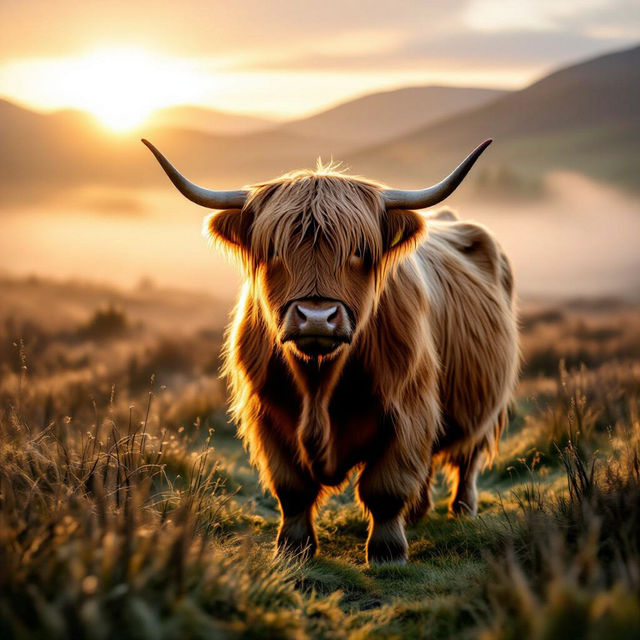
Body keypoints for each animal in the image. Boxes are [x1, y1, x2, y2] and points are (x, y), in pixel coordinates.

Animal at [143, 138, 519, 564]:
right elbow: (291, 489)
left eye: (359, 249)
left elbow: (384, 487)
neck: (318, 384)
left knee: (467, 458)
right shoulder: (267, 414)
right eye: (273, 250)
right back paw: (419, 513)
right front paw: (293, 547)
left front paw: (388, 552)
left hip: (485, 406)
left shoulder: (408, 410)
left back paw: (462, 509)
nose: (317, 318)